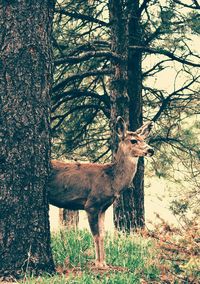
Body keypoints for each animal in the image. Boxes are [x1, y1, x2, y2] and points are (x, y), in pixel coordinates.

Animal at [47, 117, 154, 268]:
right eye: (133, 140)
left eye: (144, 138)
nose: (151, 149)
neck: (111, 180)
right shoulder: (91, 204)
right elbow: (96, 235)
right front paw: (98, 263)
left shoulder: (103, 207)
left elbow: (103, 234)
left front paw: (104, 262)